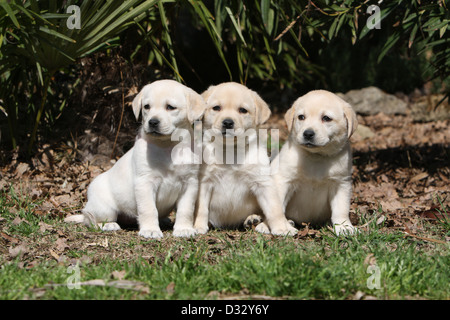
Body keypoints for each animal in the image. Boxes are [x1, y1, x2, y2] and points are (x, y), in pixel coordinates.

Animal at [65, 80, 206, 238]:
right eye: (147, 106)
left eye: (170, 107)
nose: (152, 122)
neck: (167, 146)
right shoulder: (145, 182)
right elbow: (149, 209)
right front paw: (150, 230)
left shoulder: (190, 183)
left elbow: (186, 209)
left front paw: (184, 229)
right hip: (103, 208)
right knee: (89, 219)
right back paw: (107, 225)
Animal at [192, 81, 296, 236]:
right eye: (216, 108)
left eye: (242, 110)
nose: (228, 122)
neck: (230, 150)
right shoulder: (204, 182)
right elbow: (201, 209)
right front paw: (198, 226)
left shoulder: (263, 183)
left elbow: (274, 209)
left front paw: (281, 227)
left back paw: (255, 219)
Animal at [266, 90, 360, 235]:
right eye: (301, 117)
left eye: (326, 118)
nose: (308, 134)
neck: (316, 156)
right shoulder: (284, 180)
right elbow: (277, 206)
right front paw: (277, 226)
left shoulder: (341, 183)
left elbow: (341, 209)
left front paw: (344, 226)